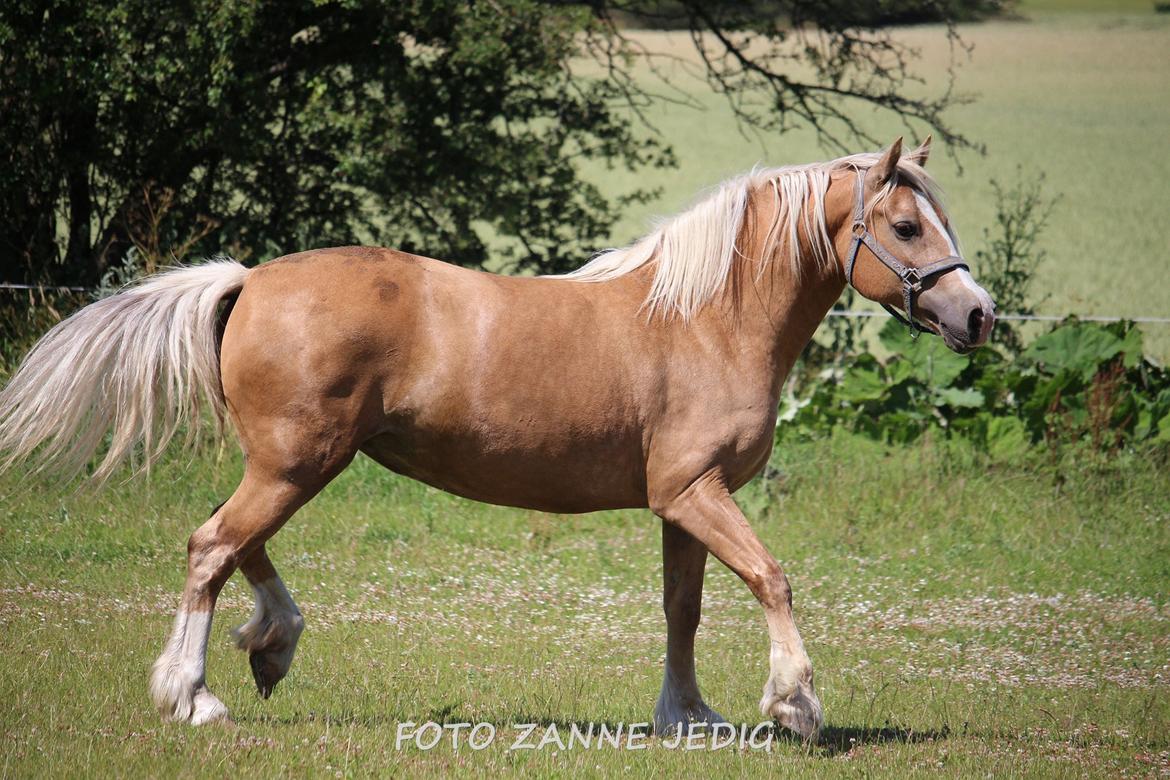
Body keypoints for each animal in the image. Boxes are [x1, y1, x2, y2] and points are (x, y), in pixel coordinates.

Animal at [0, 138, 992, 739]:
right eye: (907, 226)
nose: (977, 315)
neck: (705, 319)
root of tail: (250, 279)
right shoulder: (695, 494)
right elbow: (772, 579)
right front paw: (795, 703)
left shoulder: (682, 504)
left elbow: (684, 609)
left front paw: (687, 716)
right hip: (297, 461)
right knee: (213, 544)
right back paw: (194, 695)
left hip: (294, 461)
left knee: (230, 539)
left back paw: (272, 644)